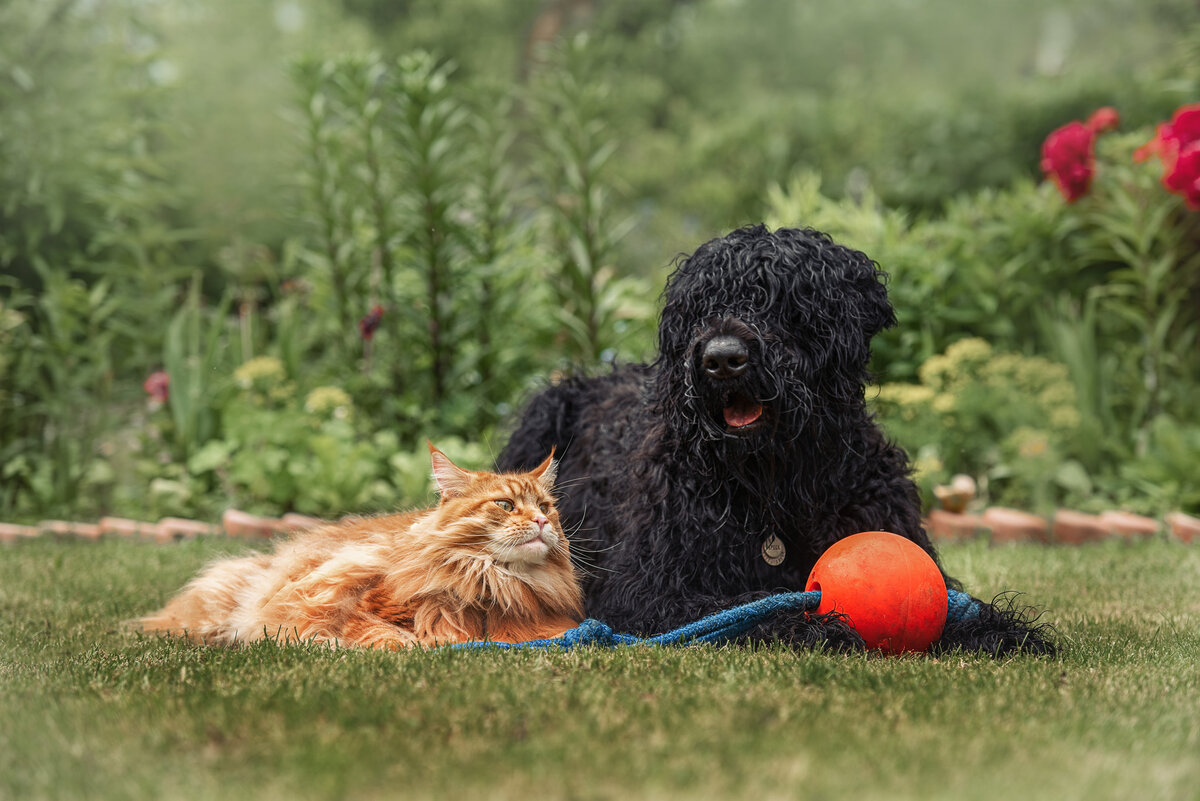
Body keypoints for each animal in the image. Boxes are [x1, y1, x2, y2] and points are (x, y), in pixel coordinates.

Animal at [140, 443, 580, 652]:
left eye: (545, 507)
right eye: (505, 505)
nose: (541, 522)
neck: (494, 585)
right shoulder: (350, 602)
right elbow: (376, 631)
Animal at [494, 221, 1051, 652]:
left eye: (785, 300)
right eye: (700, 305)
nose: (722, 358)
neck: (774, 483)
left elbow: (961, 605)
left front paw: (998, 628)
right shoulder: (653, 591)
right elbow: (752, 607)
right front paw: (817, 626)